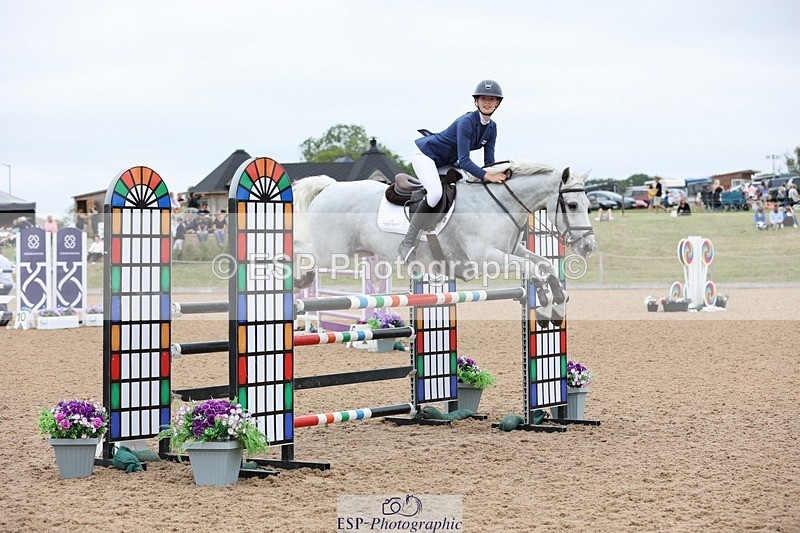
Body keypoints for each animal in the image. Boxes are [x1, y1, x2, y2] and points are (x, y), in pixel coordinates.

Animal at [292, 161, 596, 320]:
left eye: (587, 203)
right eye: (571, 205)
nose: (588, 247)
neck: (498, 204)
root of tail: (330, 187)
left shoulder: (512, 250)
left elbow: (544, 263)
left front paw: (558, 302)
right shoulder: (486, 259)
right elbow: (533, 268)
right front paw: (544, 303)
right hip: (332, 252)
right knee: (301, 251)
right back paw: (295, 279)